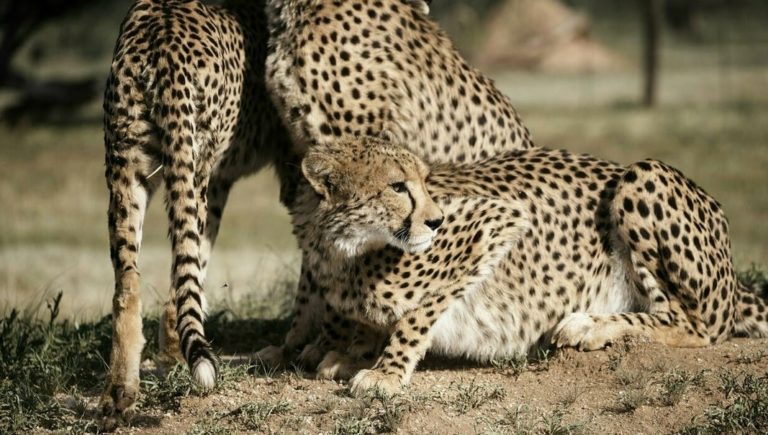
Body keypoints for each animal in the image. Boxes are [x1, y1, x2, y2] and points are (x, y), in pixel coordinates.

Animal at [102, 0, 533, 423]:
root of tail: (161, 28)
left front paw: (323, 347)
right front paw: (302, 346)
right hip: (141, 161)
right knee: (135, 279)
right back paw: (124, 390)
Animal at [290, 135, 768, 397]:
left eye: (423, 183)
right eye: (396, 187)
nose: (436, 220)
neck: (346, 249)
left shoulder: (495, 221)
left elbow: (416, 315)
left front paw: (386, 372)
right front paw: (350, 350)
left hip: (643, 174)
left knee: (696, 325)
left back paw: (590, 325)